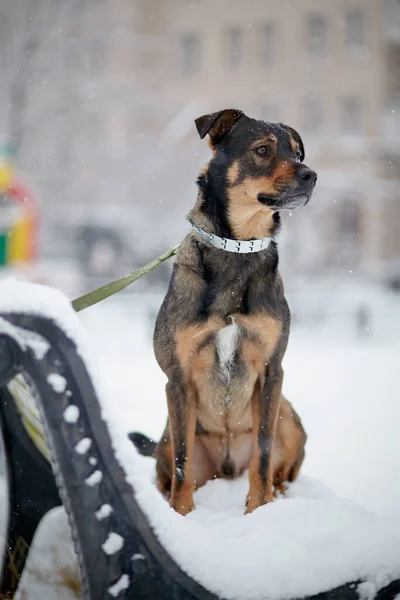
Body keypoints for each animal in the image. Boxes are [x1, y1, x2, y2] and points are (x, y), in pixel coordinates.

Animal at [130, 109, 316, 516]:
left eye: (296, 152)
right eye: (262, 149)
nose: (311, 175)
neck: (238, 247)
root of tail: (228, 469)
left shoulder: (272, 371)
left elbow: (263, 454)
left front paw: (258, 509)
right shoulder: (178, 378)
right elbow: (182, 462)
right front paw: (181, 515)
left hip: (289, 417)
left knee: (281, 469)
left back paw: (279, 496)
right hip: (167, 434)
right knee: (170, 467)